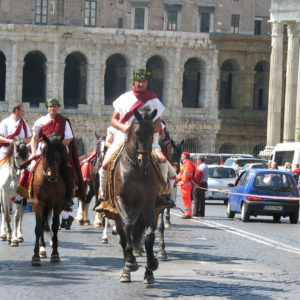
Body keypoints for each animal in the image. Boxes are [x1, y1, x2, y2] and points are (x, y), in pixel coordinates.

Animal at [31, 134, 72, 264]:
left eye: (58, 157)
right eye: (46, 155)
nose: (52, 176)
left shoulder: (58, 204)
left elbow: (54, 226)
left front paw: (55, 253)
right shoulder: (38, 202)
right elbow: (38, 227)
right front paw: (35, 256)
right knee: (43, 224)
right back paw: (42, 249)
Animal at [113, 107, 161, 284]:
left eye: (152, 132)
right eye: (137, 133)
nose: (143, 159)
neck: (135, 171)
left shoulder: (149, 205)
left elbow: (149, 235)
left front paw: (151, 264)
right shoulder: (120, 200)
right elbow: (128, 227)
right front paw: (131, 262)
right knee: (123, 236)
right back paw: (126, 268)